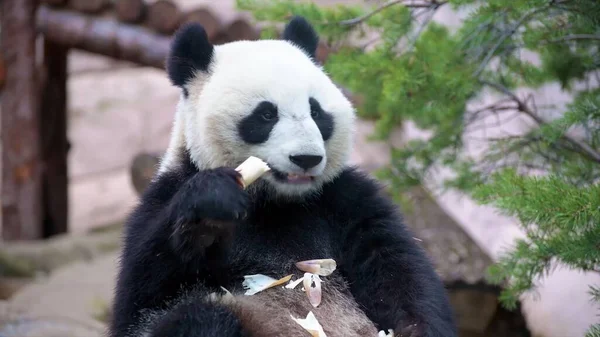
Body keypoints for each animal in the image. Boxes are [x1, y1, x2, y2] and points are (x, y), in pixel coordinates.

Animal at [109, 15, 454, 336]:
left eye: (316, 112)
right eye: (266, 114)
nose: (307, 158)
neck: (275, 202)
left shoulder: (344, 200)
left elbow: (395, 267)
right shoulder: (163, 196)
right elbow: (141, 297)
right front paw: (213, 205)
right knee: (201, 317)